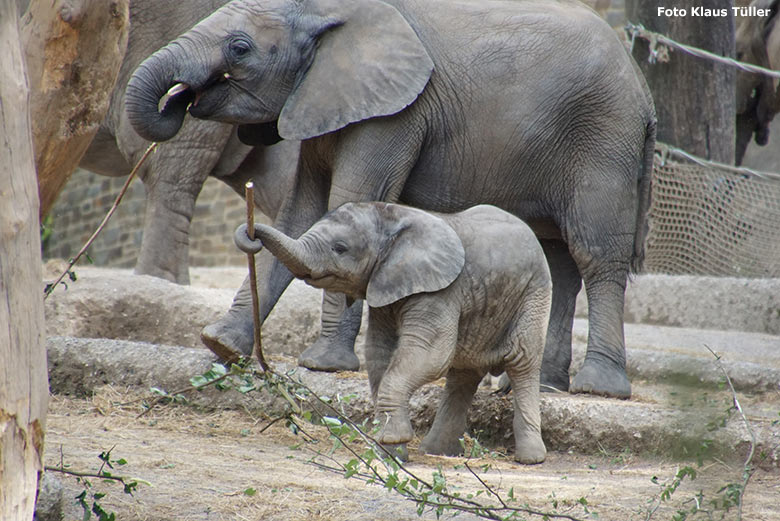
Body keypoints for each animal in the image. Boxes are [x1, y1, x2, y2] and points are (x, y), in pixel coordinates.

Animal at [126, 0, 660, 396]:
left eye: (240, 48)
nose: (182, 98)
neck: (329, 11)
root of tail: (644, 90)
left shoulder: (397, 112)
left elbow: (351, 201)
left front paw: (322, 366)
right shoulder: (325, 99)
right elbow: (301, 216)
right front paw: (220, 345)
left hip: (603, 141)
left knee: (594, 253)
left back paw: (597, 388)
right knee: (558, 259)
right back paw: (538, 387)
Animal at [235, 201, 552, 462]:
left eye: (340, 248)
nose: (252, 235)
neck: (394, 216)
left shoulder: (441, 289)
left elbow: (430, 354)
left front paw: (391, 442)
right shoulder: (385, 285)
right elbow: (379, 352)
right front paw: (391, 454)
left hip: (534, 294)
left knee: (522, 363)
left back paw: (530, 459)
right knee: (463, 373)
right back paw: (436, 452)